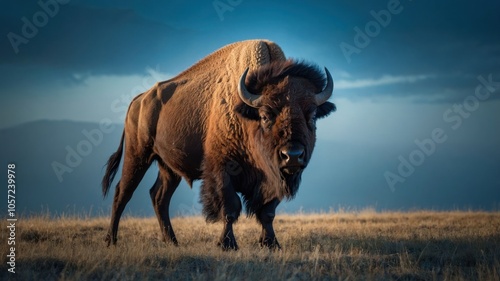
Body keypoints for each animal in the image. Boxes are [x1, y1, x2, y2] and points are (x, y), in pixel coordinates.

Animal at [101, 38, 336, 248]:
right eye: (265, 115)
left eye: (312, 116)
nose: (293, 155)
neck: (246, 113)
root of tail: (138, 100)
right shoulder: (222, 169)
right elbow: (230, 208)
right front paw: (227, 244)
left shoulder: (275, 177)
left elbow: (268, 212)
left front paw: (271, 244)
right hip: (138, 155)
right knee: (122, 192)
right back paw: (111, 241)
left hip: (168, 167)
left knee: (159, 197)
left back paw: (173, 242)